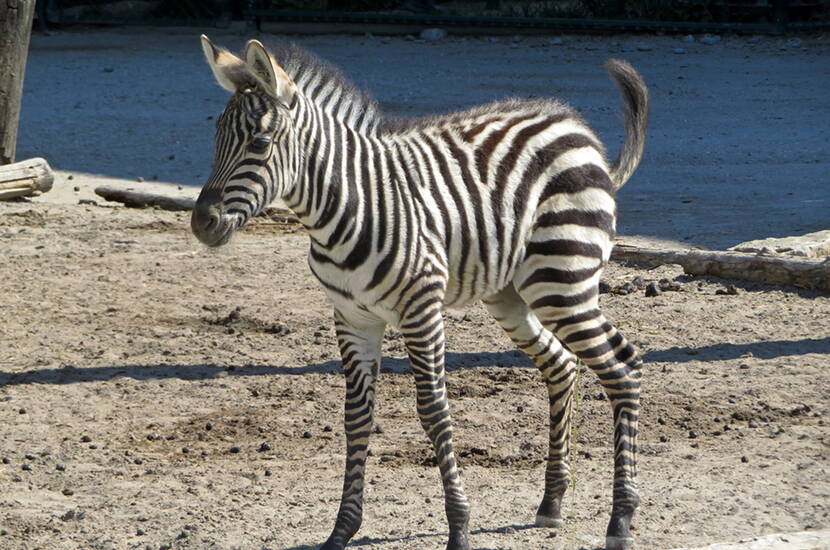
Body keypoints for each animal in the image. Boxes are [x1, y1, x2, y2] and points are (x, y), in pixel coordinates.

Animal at [193, 35, 648, 550]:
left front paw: (459, 526)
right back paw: (551, 501)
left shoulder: (420, 309)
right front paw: (342, 529)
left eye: (260, 143)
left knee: (623, 367)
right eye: (215, 139)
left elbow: (433, 411)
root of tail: (577, 129)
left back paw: (621, 518)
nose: (201, 223)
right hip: (513, 293)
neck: (345, 206)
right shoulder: (353, 317)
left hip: (562, 279)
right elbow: (356, 417)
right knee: (562, 363)